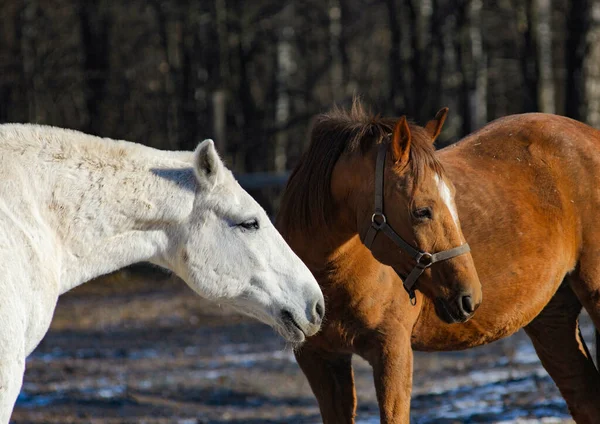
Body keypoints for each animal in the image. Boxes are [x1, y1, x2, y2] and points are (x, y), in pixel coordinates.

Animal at [278, 101, 600, 422]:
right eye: (422, 211)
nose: (470, 297)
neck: (332, 276)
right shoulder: (320, 360)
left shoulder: (392, 351)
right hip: (552, 319)